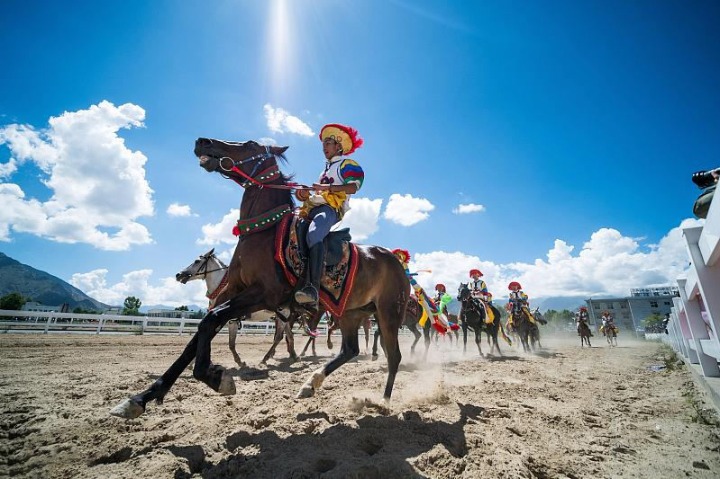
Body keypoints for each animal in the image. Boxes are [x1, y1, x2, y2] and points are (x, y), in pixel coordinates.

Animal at [109, 139, 408, 420]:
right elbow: (200, 332)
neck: (263, 232)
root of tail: (395, 260)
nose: (203, 141)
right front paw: (142, 397)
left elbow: (210, 321)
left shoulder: (263, 295)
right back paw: (310, 384)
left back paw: (383, 401)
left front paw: (216, 377)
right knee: (349, 350)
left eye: (250, 144)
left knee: (393, 355)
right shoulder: (234, 292)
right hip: (349, 313)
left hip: (387, 313)